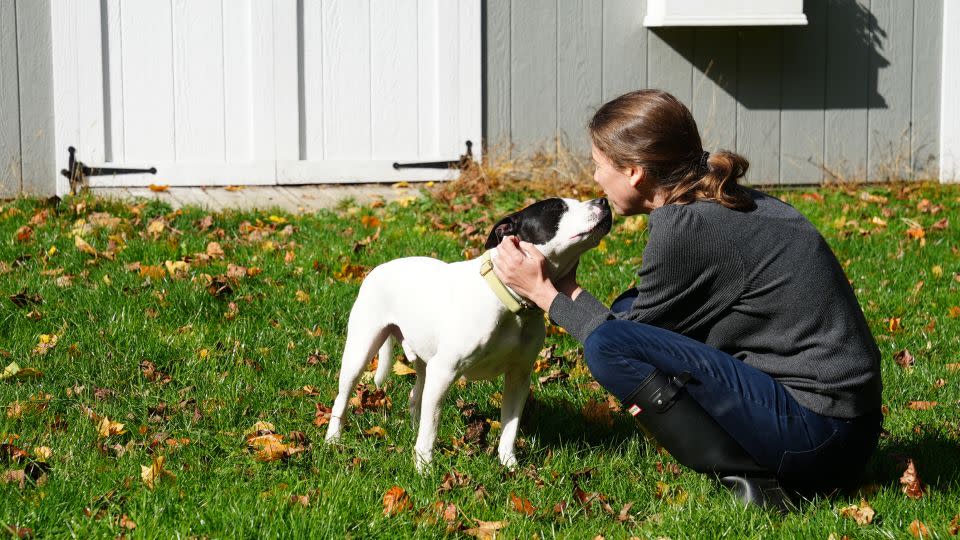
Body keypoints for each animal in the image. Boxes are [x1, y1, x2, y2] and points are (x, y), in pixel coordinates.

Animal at [326, 198, 612, 472]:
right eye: (557, 208)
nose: (604, 201)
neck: (510, 300)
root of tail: (380, 267)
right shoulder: (444, 371)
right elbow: (431, 428)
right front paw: (424, 469)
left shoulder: (519, 376)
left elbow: (510, 427)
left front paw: (509, 464)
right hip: (360, 350)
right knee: (343, 397)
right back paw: (333, 439)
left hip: (424, 360)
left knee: (416, 394)